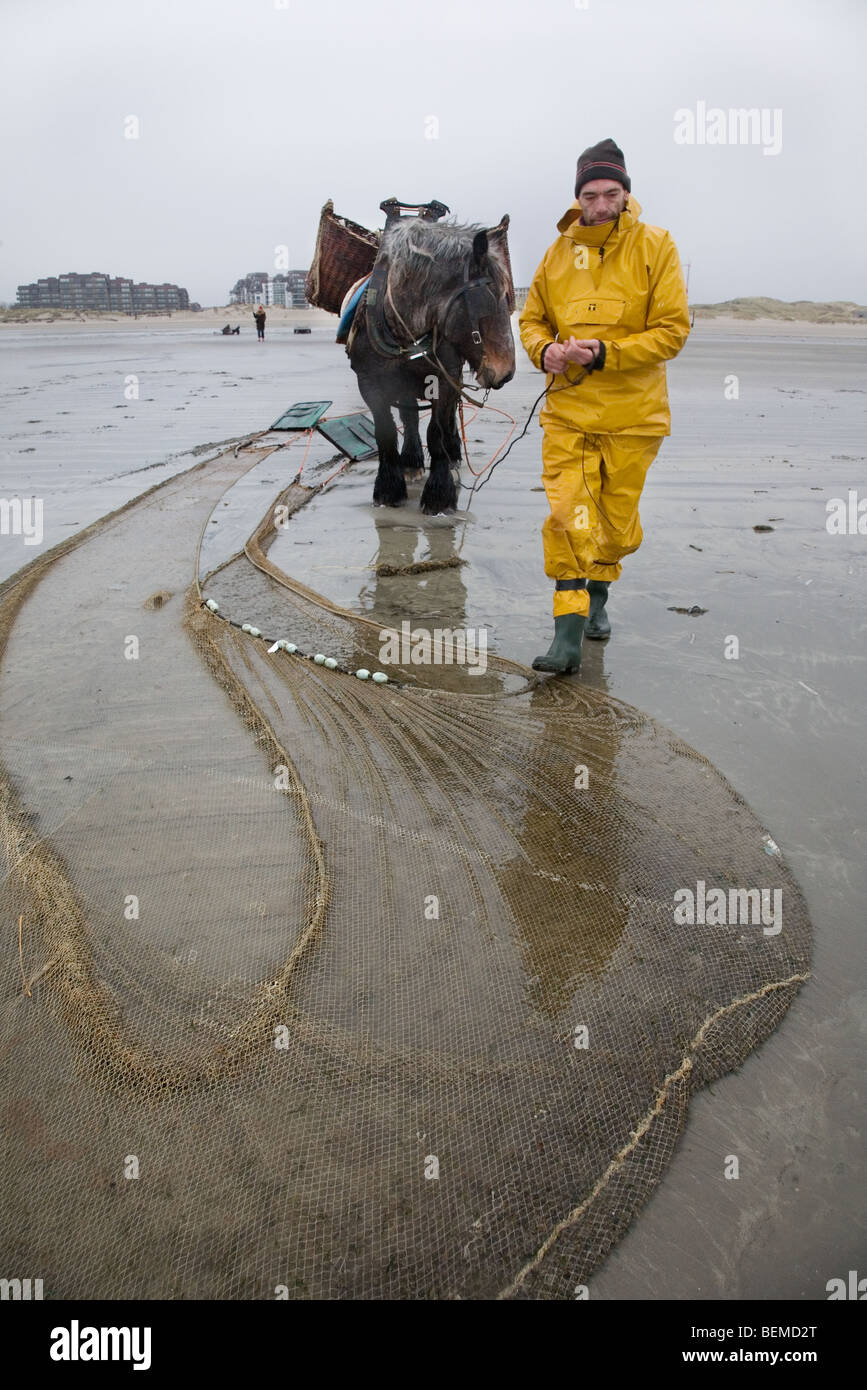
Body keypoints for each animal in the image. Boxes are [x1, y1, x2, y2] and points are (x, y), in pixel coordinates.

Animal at [347, 215, 516, 515]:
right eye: (492, 296)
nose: (506, 370)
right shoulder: (369, 383)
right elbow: (385, 431)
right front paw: (388, 489)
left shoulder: (444, 380)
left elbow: (436, 431)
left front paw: (439, 494)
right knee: (410, 416)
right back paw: (411, 462)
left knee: (447, 421)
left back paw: (452, 453)